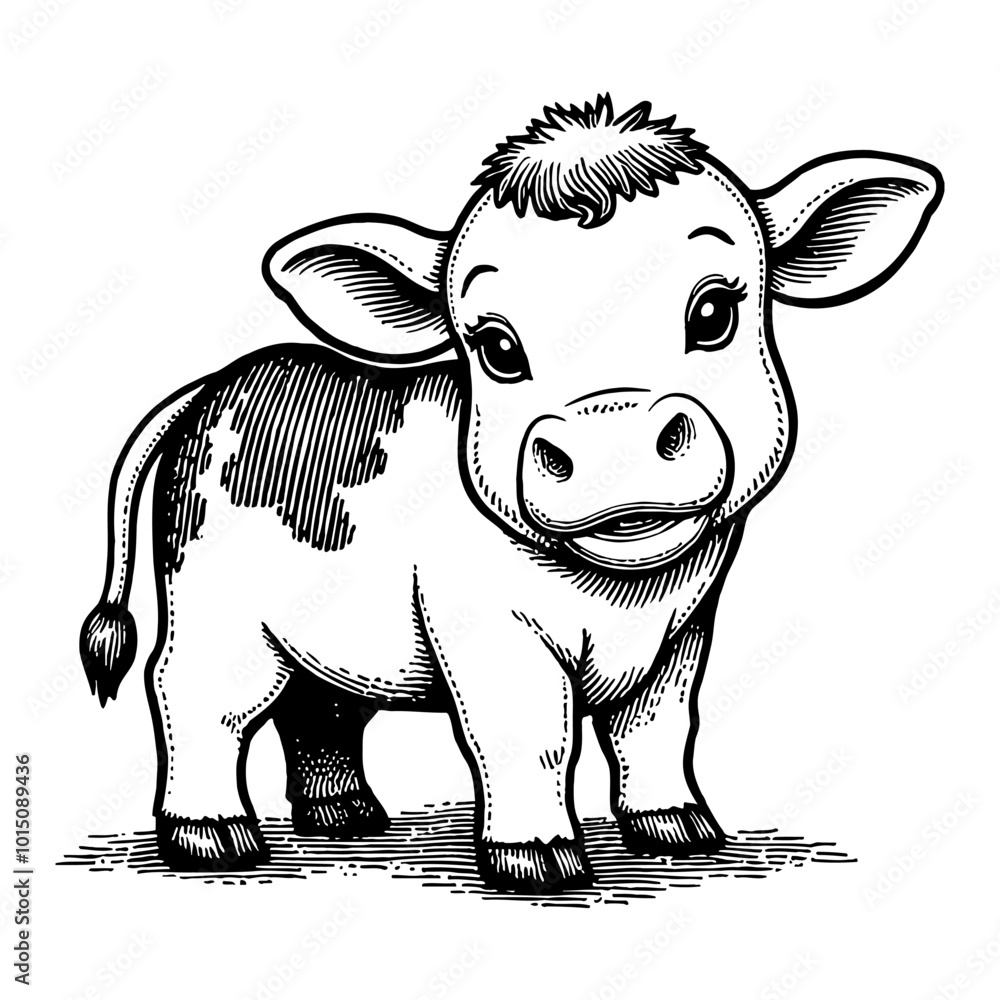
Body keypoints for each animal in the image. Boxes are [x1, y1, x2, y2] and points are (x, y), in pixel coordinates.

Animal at [80, 96, 942, 892]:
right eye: (496, 345)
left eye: (713, 311)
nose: (611, 438)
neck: (622, 596)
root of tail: (214, 385)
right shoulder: (485, 624)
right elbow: (531, 735)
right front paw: (538, 862)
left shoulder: (685, 629)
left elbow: (656, 728)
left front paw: (680, 832)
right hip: (212, 599)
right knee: (195, 693)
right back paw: (214, 839)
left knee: (318, 703)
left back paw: (346, 816)